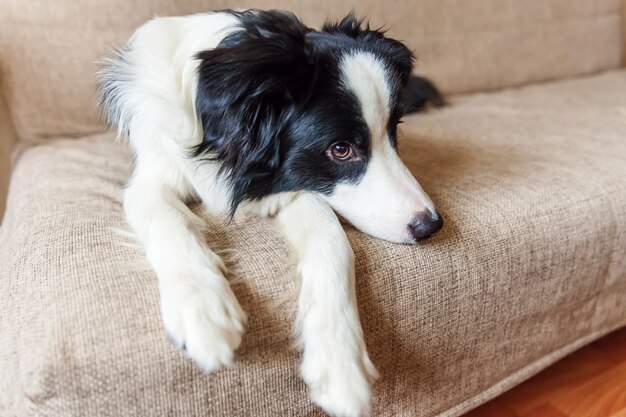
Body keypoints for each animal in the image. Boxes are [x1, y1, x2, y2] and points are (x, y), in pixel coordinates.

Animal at [97, 9, 442, 416]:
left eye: (394, 132)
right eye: (340, 149)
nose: (431, 225)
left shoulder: (290, 185)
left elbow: (332, 241)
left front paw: (339, 362)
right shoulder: (150, 177)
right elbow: (169, 219)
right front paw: (203, 310)